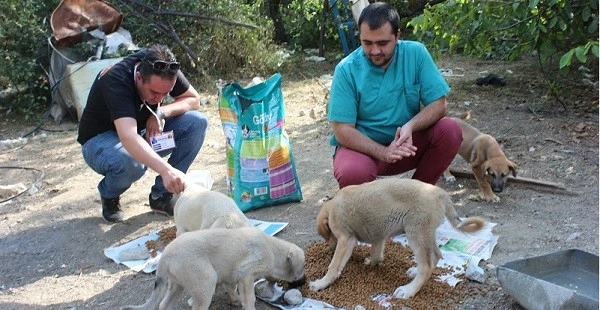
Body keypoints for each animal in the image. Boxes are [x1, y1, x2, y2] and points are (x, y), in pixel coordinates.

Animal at [121, 225, 304, 310]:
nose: (302, 282)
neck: (272, 249)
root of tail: (165, 256)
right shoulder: (246, 275)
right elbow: (249, 298)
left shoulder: (232, 277)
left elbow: (233, 291)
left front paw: (236, 301)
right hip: (206, 282)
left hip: (176, 286)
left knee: (163, 305)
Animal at [310, 178, 488, 300]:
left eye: (327, 236)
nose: (330, 248)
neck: (333, 207)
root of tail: (440, 193)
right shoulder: (378, 234)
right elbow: (376, 253)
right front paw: (372, 263)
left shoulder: (346, 239)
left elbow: (333, 266)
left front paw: (321, 283)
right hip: (425, 234)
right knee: (435, 256)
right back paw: (415, 272)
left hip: (415, 233)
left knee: (427, 266)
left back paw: (409, 290)